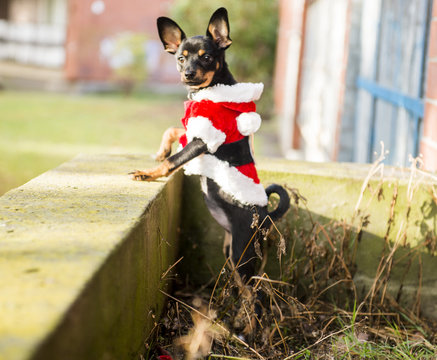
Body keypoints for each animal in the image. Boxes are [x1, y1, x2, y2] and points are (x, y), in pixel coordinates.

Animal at [133, 7, 290, 292]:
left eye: (206, 57)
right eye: (181, 58)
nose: (188, 73)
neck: (207, 93)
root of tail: (266, 217)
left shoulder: (204, 141)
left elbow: (174, 160)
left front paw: (148, 173)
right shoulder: (195, 130)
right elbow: (173, 130)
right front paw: (161, 151)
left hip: (241, 254)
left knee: (257, 295)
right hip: (233, 252)